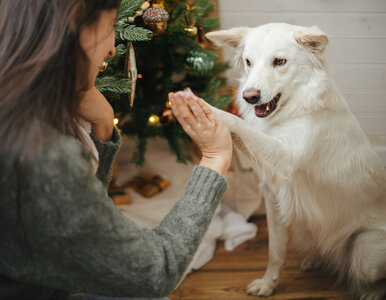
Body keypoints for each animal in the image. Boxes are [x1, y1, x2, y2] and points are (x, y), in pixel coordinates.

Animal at [199, 24, 386, 300]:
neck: (293, 109)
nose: (249, 96)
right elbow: (275, 251)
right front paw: (268, 283)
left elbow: (241, 126)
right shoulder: (272, 196)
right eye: (248, 62)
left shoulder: (283, 159)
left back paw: (371, 292)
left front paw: (203, 107)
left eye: (279, 61)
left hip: (365, 252)